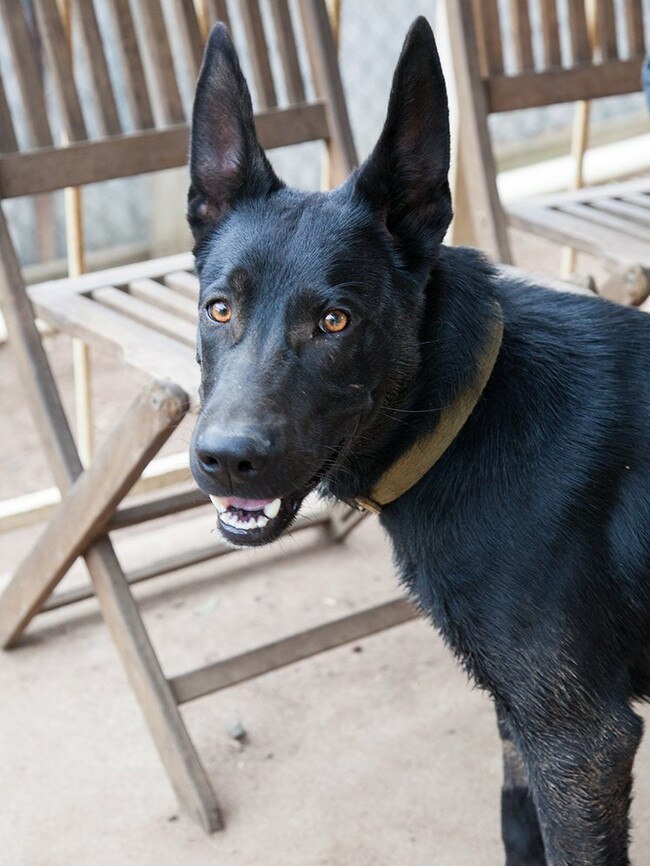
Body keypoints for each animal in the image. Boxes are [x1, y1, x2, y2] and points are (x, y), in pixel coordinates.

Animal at [186, 15, 648, 864]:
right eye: (219, 308)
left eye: (335, 320)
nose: (226, 459)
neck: (465, 414)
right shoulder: (521, 722)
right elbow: (515, 826)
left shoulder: (579, 740)